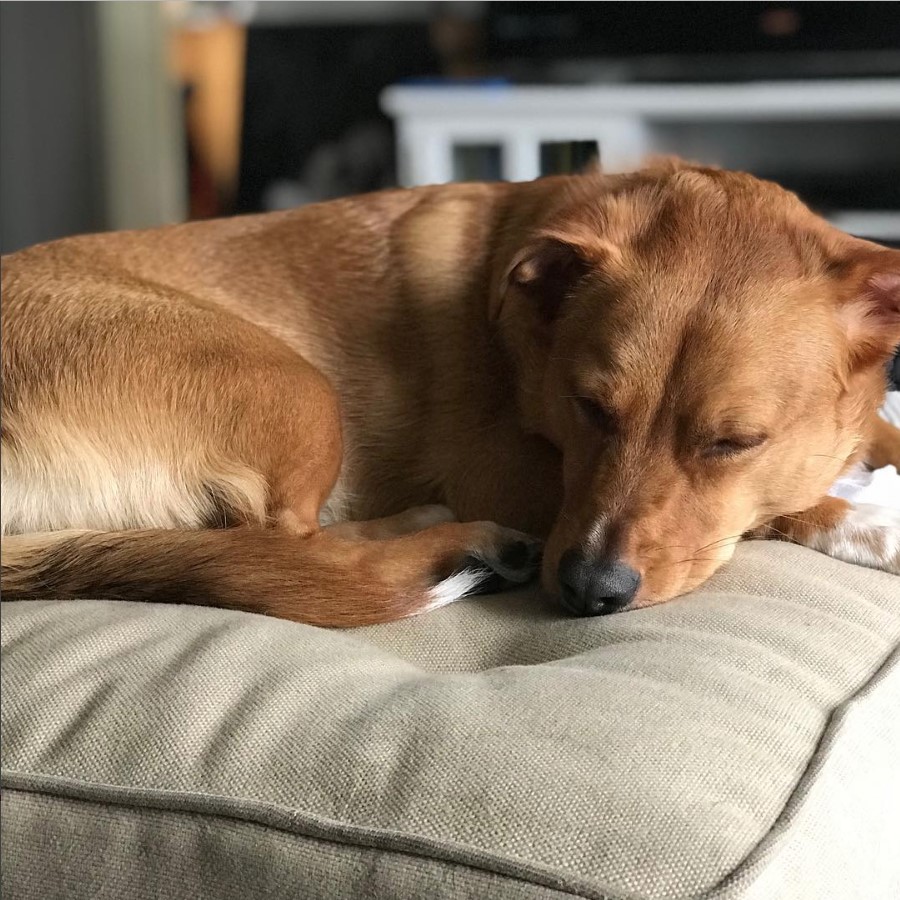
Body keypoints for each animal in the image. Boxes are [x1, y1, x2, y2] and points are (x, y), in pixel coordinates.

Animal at [1, 160, 900, 624]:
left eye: (734, 442)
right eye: (589, 407)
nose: (586, 592)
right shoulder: (513, 476)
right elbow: (789, 505)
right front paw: (867, 522)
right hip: (295, 388)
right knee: (285, 547)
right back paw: (459, 541)